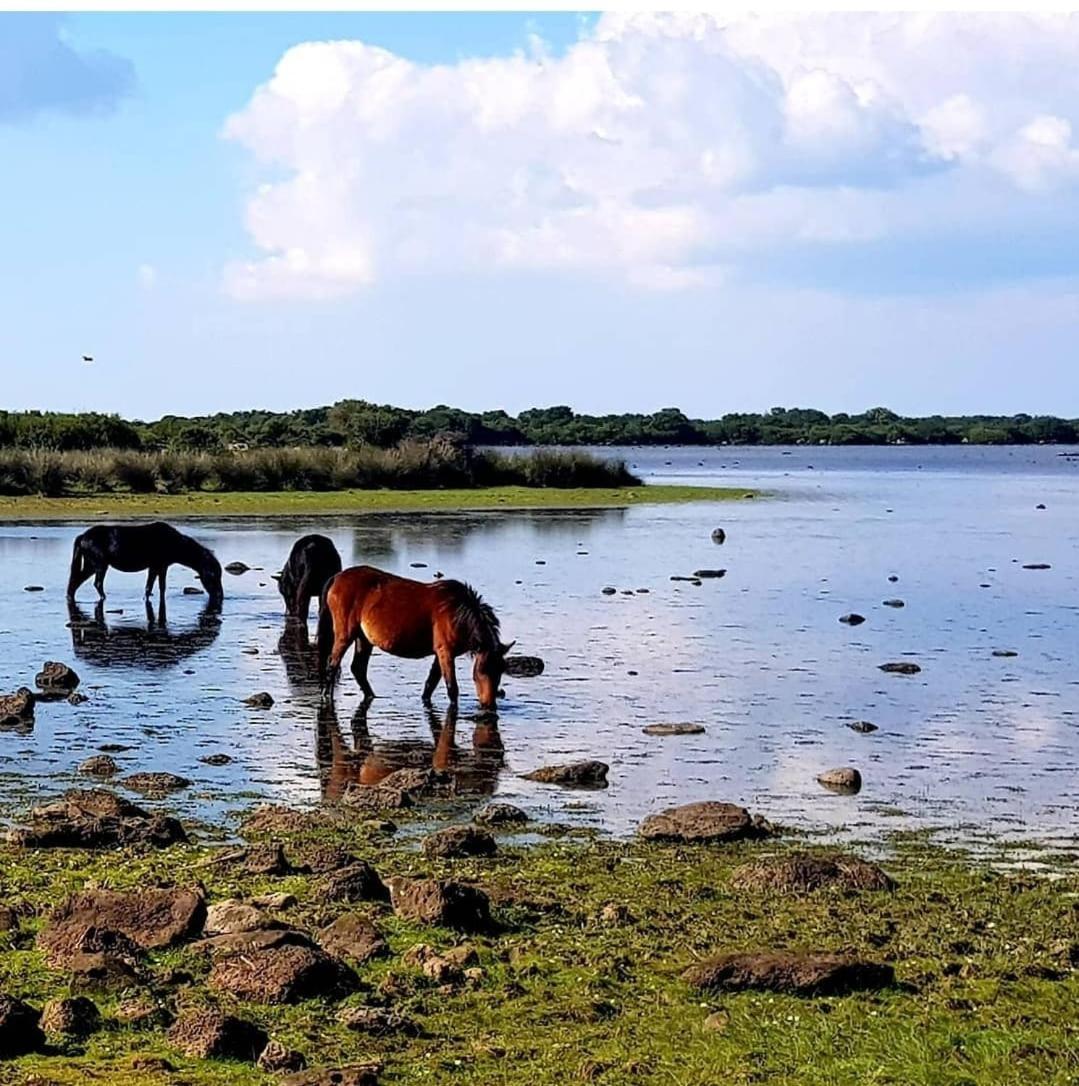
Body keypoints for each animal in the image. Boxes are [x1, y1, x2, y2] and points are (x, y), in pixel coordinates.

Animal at [66, 521, 222, 608]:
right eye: (213, 575)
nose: (220, 595)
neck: (174, 542)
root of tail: (83, 537)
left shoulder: (160, 567)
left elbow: (158, 587)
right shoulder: (156, 566)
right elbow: (152, 586)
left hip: (91, 565)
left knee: (76, 581)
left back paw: (70, 597)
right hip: (99, 564)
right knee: (97, 583)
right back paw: (104, 598)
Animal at [314, 564, 512, 708]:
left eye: (501, 669)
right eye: (482, 670)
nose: (489, 704)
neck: (456, 611)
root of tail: (336, 577)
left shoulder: (441, 654)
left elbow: (430, 684)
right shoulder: (445, 652)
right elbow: (452, 688)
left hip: (363, 639)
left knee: (358, 669)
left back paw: (372, 696)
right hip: (345, 635)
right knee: (332, 665)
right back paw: (326, 697)